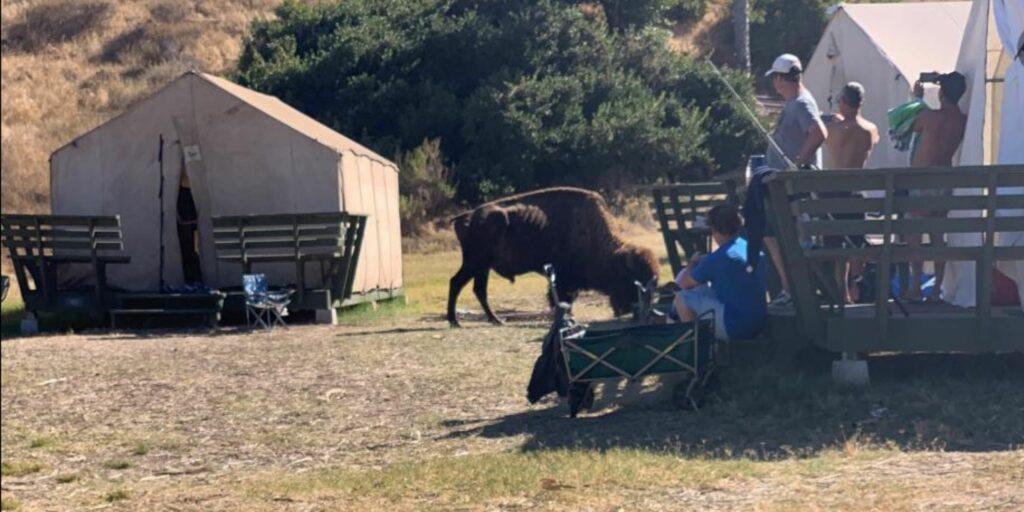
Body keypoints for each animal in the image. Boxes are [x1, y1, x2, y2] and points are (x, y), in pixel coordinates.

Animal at [446, 188, 655, 327]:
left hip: (482, 267)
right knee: (458, 283)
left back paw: (494, 320)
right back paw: (457, 321)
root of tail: (466, 217)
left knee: (477, 289)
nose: (632, 311)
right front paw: (568, 318)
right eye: (630, 278)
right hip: (475, 263)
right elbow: (562, 298)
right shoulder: (564, 279)